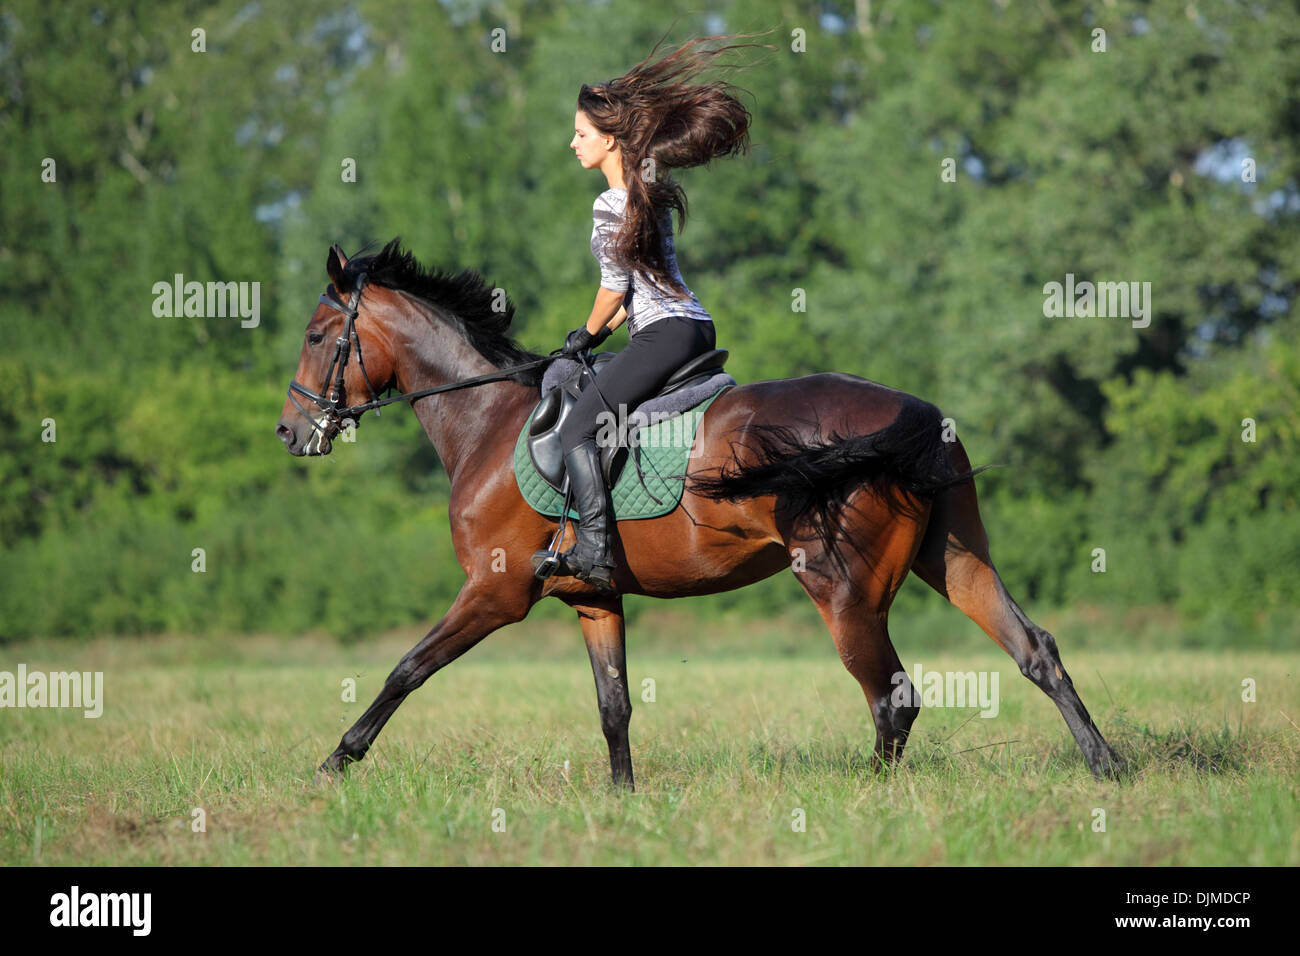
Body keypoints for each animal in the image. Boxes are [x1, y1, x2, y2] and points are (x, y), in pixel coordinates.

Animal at [276, 243, 1128, 790]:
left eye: (318, 336)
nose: (291, 432)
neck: (486, 423)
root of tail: (916, 413)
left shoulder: (494, 593)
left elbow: (406, 669)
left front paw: (334, 763)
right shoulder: (593, 598)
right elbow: (614, 704)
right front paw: (623, 799)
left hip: (843, 589)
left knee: (894, 695)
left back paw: (870, 794)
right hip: (951, 558)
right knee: (1034, 649)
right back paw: (1105, 764)